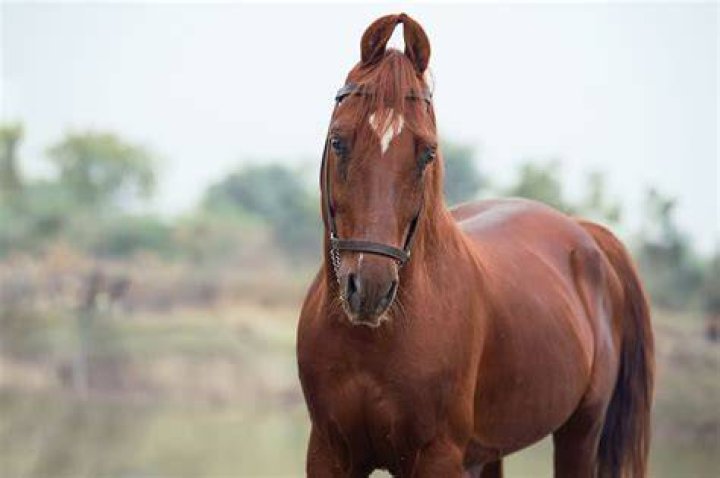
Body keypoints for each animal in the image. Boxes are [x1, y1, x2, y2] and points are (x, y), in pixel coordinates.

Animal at [297, 13, 654, 478]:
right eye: (339, 141)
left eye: (427, 153)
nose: (370, 289)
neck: (372, 343)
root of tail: (585, 233)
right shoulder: (328, 453)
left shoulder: (438, 458)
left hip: (580, 433)